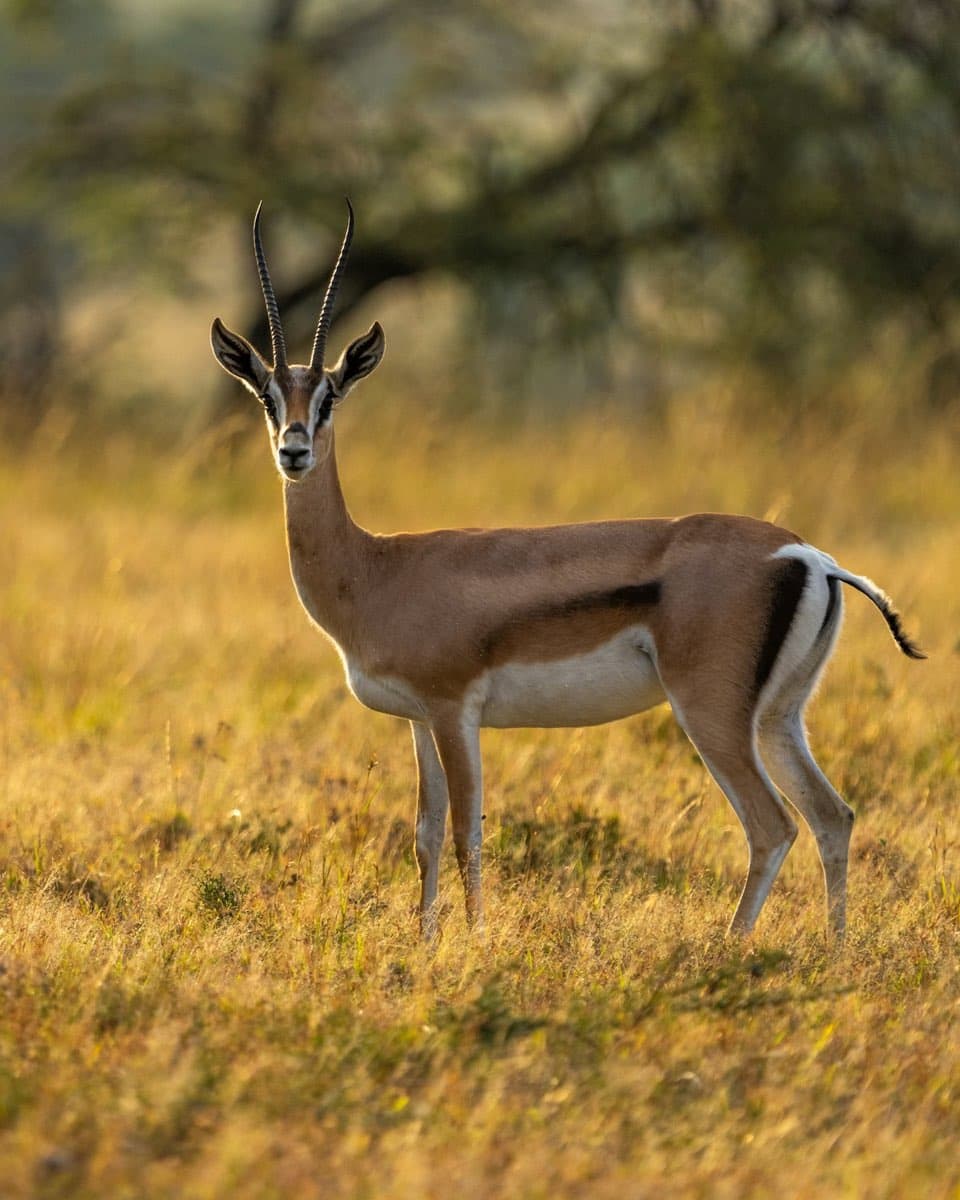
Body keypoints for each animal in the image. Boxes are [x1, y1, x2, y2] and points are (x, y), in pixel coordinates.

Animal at [211, 202, 924, 941]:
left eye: (330, 397)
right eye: (267, 397)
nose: (294, 451)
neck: (377, 568)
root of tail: (808, 557)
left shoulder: (453, 712)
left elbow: (467, 831)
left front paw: (473, 941)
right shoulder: (417, 720)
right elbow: (426, 834)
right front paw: (426, 941)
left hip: (712, 715)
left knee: (772, 825)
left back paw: (732, 947)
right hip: (779, 718)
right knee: (831, 815)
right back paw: (835, 950)